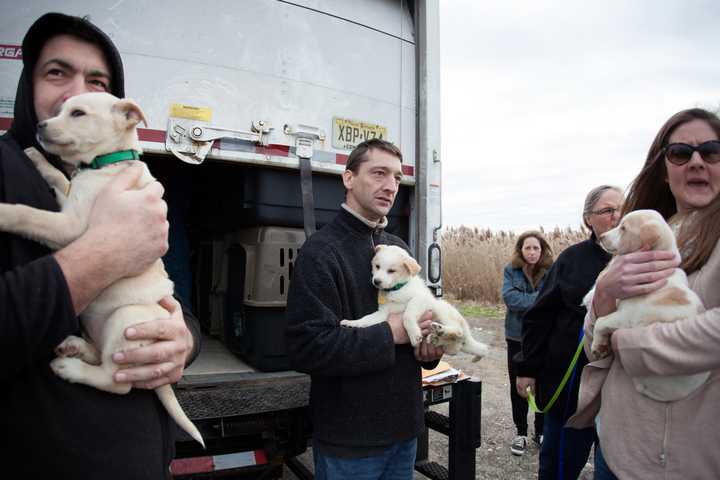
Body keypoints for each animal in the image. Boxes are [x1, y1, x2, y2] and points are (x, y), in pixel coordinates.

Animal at [342, 244, 490, 360]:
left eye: (391, 271)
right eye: (377, 266)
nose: (376, 281)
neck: (397, 289)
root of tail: (467, 339)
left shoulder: (419, 299)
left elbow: (407, 316)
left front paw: (414, 334)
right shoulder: (383, 313)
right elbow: (366, 319)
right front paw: (351, 323)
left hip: (443, 310)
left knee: (457, 331)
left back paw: (440, 330)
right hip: (451, 343)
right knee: (453, 345)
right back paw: (437, 337)